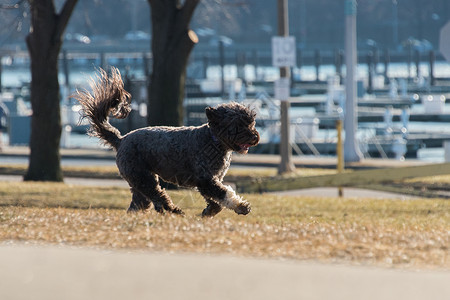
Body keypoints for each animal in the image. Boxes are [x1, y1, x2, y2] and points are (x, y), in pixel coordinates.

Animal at [74, 68, 260, 217]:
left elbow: (216, 199)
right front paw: (241, 206)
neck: (213, 141)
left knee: (141, 202)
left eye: (251, 122)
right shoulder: (206, 179)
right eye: (237, 125)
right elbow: (225, 194)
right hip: (143, 177)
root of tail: (121, 140)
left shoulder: (211, 180)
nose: (255, 137)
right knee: (159, 197)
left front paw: (210, 211)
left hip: (139, 181)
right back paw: (175, 211)